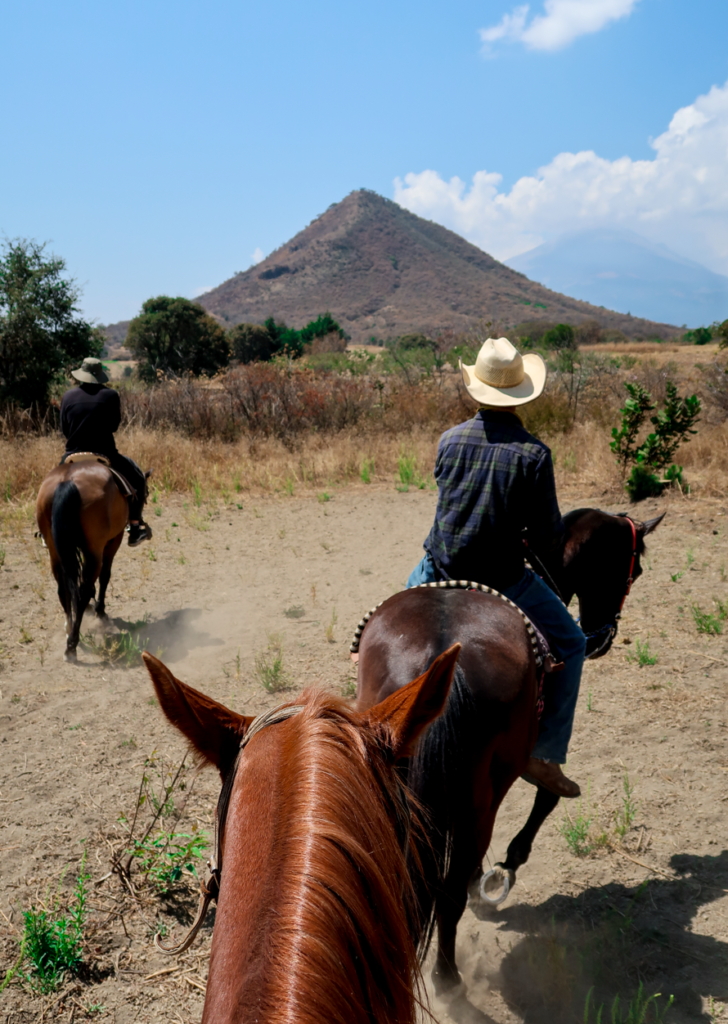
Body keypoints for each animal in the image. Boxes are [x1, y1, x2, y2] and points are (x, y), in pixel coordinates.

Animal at [35, 460, 148, 659]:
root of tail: (67, 481)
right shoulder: (113, 541)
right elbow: (105, 575)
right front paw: (100, 609)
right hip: (95, 550)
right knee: (83, 591)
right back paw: (72, 645)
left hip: (55, 551)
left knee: (64, 590)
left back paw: (69, 630)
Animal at [356, 507, 663, 995]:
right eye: (631, 571)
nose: (603, 637)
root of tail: (442, 653)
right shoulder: (526, 762)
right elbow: (548, 794)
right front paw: (505, 868)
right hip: (484, 795)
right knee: (450, 889)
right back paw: (448, 978)